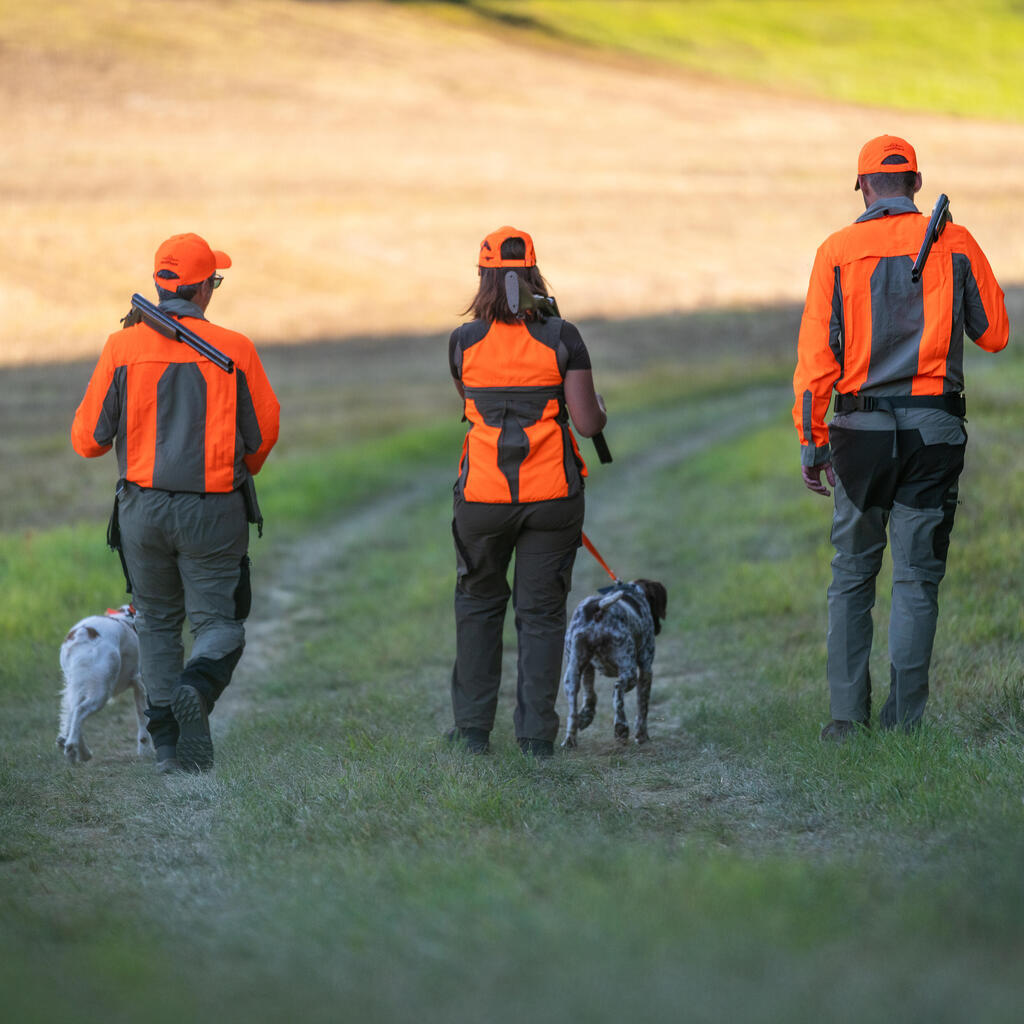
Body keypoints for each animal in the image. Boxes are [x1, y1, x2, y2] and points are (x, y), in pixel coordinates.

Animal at [55, 602, 148, 765]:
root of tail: (82, 633)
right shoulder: (140, 684)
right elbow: (143, 720)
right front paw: (146, 751)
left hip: (77, 687)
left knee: (72, 714)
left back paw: (79, 752)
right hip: (101, 690)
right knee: (79, 711)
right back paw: (73, 748)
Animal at [565, 581, 667, 749]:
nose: (658, 628)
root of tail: (598, 608)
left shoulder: (587, 667)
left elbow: (590, 694)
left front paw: (586, 716)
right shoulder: (646, 670)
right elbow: (643, 708)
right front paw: (642, 736)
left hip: (571, 676)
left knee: (572, 711)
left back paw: (570, 739)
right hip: (630, 672)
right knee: (617, 691)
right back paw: (621, 727)